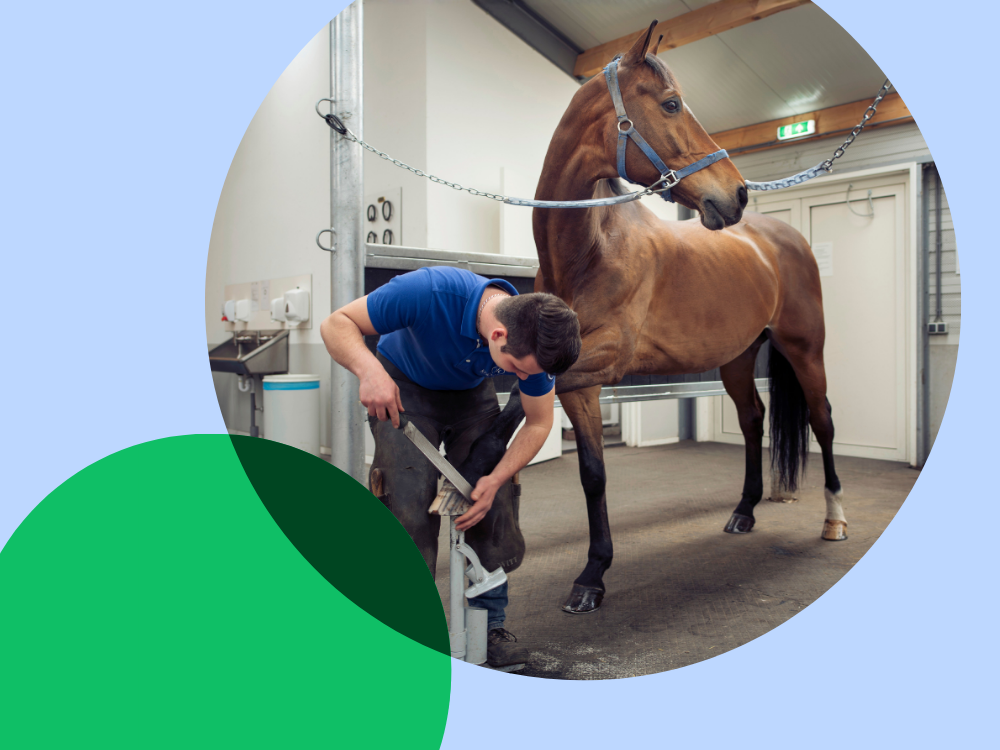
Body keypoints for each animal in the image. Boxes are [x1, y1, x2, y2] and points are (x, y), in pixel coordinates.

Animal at [443, 20, 845, 616]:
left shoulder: (605, 359)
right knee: (753, 419)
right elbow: (583, 469)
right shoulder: (577, 378)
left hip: (804, 349)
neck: (591, 249)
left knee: (822, 421)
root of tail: (781, 236)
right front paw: (590, 572)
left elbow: (522, 415)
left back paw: (834, 519)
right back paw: (744, 511)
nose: (738, 194)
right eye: (672, 103)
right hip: (736, 359)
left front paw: (467, 476)